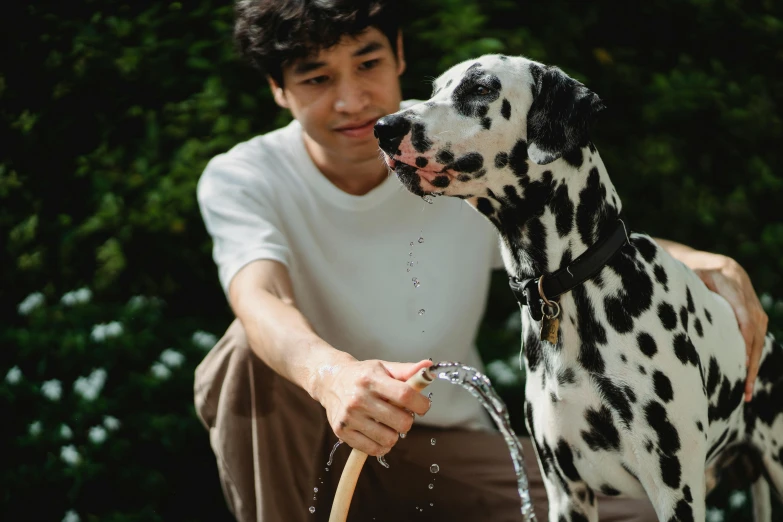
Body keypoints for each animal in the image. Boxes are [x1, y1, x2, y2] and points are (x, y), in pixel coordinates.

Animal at [376, 53, 783, 520]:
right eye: (435, 89)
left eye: (481, 88)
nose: (384, 127)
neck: (573, 286)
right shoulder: (566, 492)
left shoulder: (674, 490)